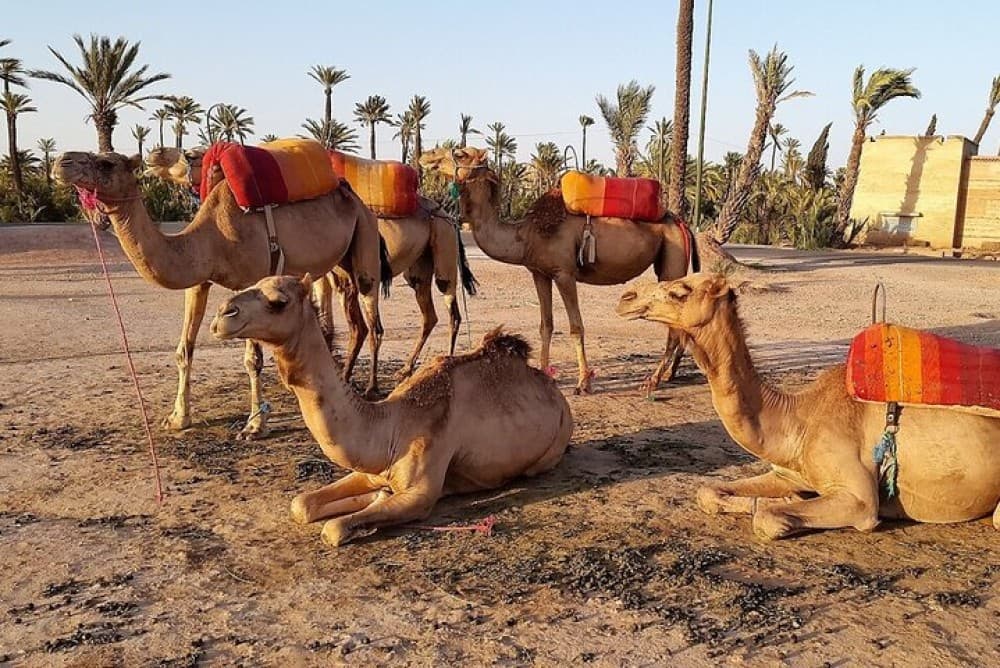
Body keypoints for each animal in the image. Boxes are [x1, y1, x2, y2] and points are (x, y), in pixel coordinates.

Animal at [53, 150, 386, 439]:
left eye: (106, 163)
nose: (61, 162)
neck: (212, 238)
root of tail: (352, 194)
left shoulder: (252, 282)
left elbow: (252, 359)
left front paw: (254, 426)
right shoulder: (198, 282)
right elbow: (183, 350)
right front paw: (178, 418)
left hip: (365, 234)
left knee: (372, 317)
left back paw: (370, 388)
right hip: (337, 263)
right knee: (352, 317)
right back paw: (343, 379)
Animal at [149, 146, 479, 379]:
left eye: (191, 154)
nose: (154, 154)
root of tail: (445, 213)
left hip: (441, 248)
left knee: (450, 309)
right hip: (417, 268)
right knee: (428, 314)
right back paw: (406, 369)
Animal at [210, 274, 573, 546]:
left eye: (278, 302)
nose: (222, 314)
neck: (391, 425)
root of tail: (554, 389)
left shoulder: (421, 493)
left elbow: (334, 528)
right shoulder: (373, 470)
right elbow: (301, 504)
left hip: (551, 450)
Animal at [420, 147, 697, 395]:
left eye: (460, 153)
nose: (426, 156)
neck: (526, 235)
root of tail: (680, 222)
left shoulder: (564, 273)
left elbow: (575, 327)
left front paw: (583, 383)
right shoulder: (539, 273)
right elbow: (546, 324)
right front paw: (544, 373)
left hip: (672, 258)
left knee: (674, 325)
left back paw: (653, 381)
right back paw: (670, 374)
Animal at [616, 274, 1000, 538]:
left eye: (680, 290)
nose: (625, 297)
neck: (799, 418)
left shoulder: (859, 498)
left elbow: (767, 520)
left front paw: (783, 508)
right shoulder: (786, 471)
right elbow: (707, 491)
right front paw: (784, 500)